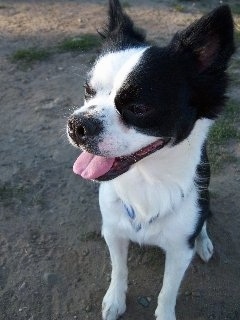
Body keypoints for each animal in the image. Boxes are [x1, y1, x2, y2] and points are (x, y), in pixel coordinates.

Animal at [67, 1, 234, 318]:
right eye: (87, 92)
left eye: (139, 108)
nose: (77, 124)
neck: (146, 180)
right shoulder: (113, 232)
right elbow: (119, 270)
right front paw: (115, 300)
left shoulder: (180, 250)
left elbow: (168, 292)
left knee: (205, 220)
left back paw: (205, 243)